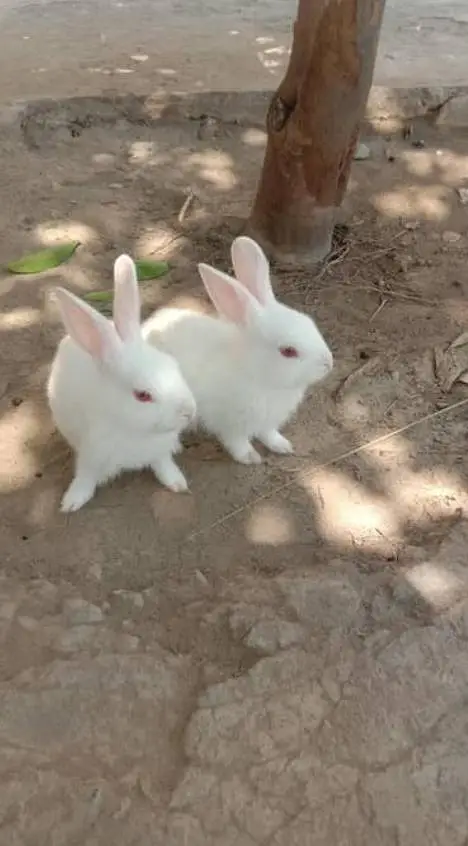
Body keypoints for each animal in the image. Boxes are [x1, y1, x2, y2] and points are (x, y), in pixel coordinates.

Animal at [47, 254, 197, 513]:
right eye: (143, 395)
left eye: (174, 365)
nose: (189, 412)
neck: (133, 429)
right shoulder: (91, 455)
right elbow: (85, 477)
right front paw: (72, 501)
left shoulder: (159, 451)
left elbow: (164, 464)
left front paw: (177, 483)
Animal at [142, 236, 333, 465]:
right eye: (288, 351)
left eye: (309, 322)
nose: (328, 363)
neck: (258, 374)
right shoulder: (230, 423)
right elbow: (237, 441)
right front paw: (250, 457)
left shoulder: (268, 421)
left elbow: (269, 433)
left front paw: (282, 446)